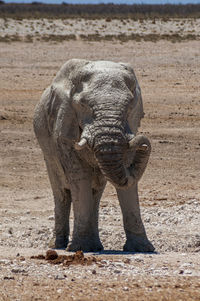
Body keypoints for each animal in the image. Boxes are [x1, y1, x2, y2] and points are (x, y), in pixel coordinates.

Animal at [33, 58, 155, 251]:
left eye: (129, 105)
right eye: (83, 105)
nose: (143, 144)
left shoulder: (131, 125)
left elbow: (127, 181)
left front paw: (142, 249)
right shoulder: (64, 125)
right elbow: (79, 175)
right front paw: (80, 247)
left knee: (96, 193)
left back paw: (96, 246)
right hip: (47, 151)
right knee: (62, 192)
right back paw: (58, 245)